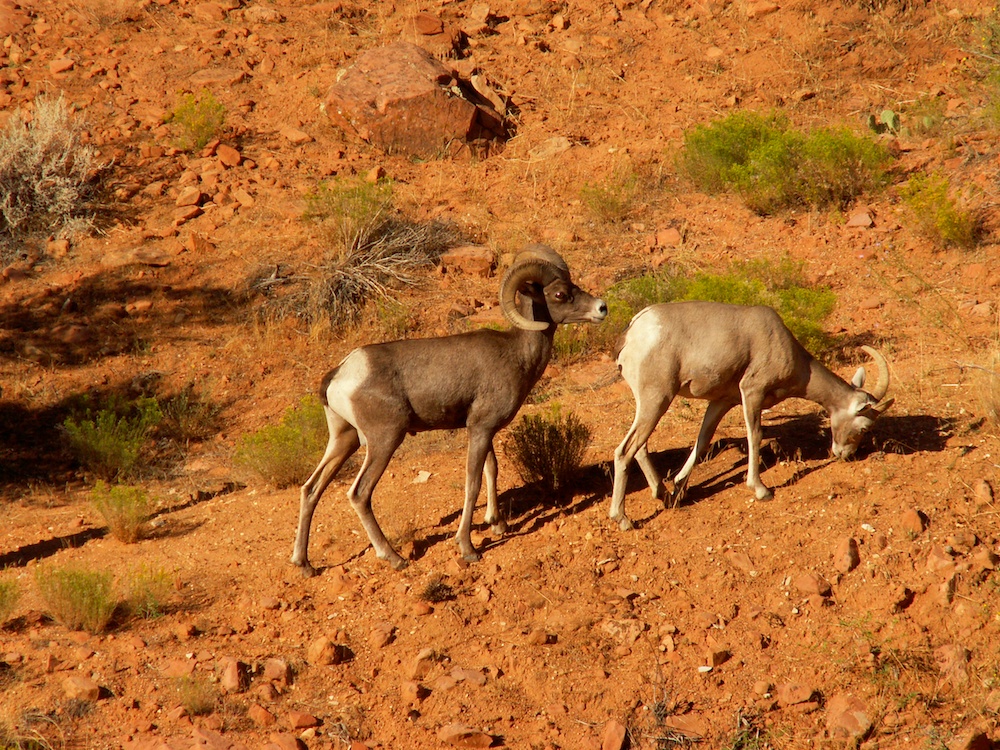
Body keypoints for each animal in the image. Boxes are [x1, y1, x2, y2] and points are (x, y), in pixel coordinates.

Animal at [290, 244, 608, 572]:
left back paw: (305, 565)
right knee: (359, 494)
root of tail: (341, 373)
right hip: (384, 440)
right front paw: (468, 548)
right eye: (559, 294)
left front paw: (497, 524)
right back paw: (394, 557)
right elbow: (473, 482)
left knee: (310, 489)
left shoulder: (483, 430)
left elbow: (492, 470)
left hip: (344, 439)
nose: (602, 308)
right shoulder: (480, 429)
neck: (516, 353)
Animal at [612, 302, 896, 532]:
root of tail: (635, 331)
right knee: (624, 451)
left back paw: (661, 494)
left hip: (648, 404)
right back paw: (623, 520)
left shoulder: (722, 402)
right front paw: (761, 490)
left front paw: (679, 488)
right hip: (657, 400)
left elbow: (702, 441)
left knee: (639, 447)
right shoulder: (752, 392)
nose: (845, 455)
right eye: (864, 427)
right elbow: (755, 435)